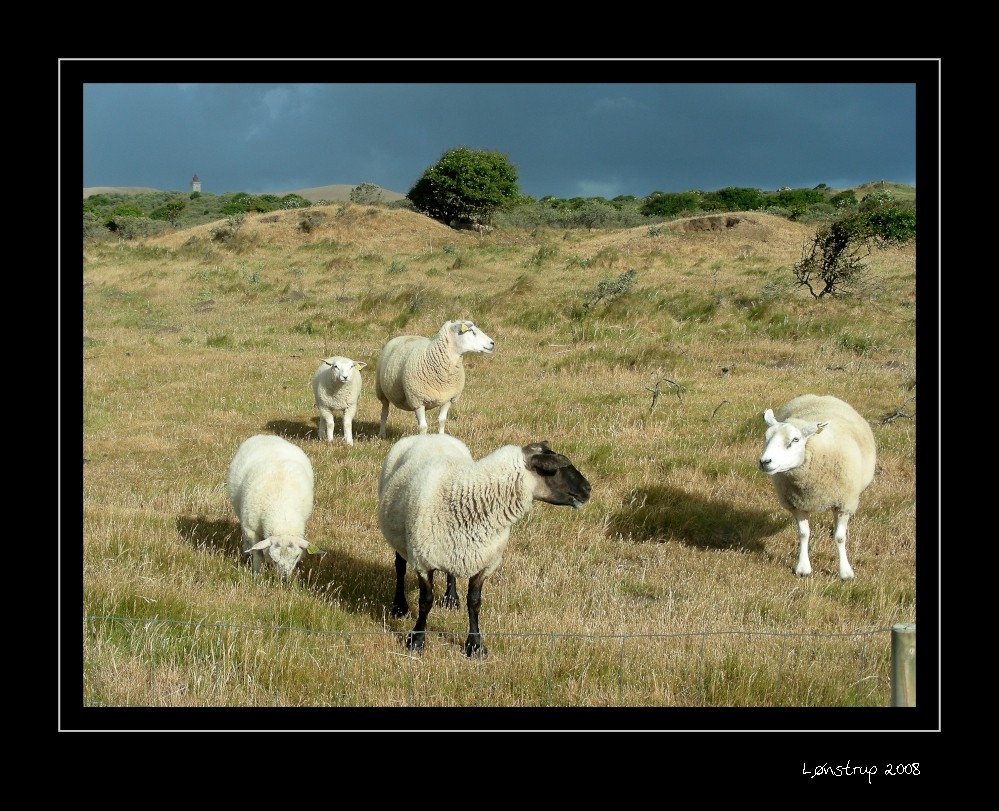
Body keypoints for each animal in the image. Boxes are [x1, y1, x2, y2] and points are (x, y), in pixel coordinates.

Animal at [225, 434, 314, 580]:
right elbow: (257, 553)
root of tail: (266, 436)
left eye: (296, 556)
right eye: (274, 558)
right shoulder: (251, 530)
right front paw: (256, 575)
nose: (284, 578)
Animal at [378, 434, 588, 656]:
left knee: (451, 573)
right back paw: (399, 606)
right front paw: (416, 640)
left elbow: (474, 603)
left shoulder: (485, 564)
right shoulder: (423, 562)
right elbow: (425, 602)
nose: (588, 489)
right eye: (553, 470)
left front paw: (475, 645)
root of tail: (429, 435)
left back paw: (451, 599)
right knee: (400, 567)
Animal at [756, 394, 876, 580]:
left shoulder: (844, 504)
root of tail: (821, 396)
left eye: (795, 439)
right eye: (766, 437)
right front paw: (803, 567)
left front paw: (845, 572)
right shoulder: (797, 503)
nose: (764, 462)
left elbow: (840, 537)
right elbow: (803, 533)